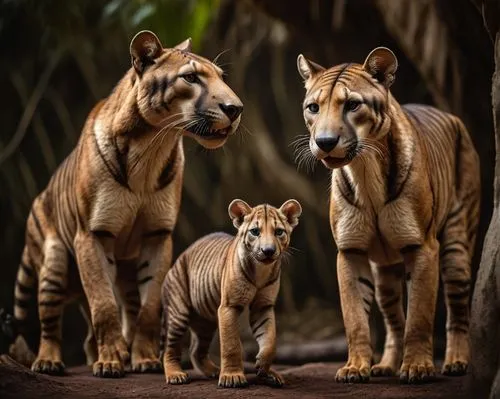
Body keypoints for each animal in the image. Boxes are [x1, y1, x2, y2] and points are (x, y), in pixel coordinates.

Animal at [12, 30, 243, 378]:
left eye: (221, 77)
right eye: (190, 78)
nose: (236, 108)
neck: (151, 146)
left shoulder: (157, 235)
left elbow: (148, 307)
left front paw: (143, 358)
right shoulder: (93, 234)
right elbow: (103, 304)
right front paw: (110, 362)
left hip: (125, 269)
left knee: (114, 318)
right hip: (53, 261)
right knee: (50, 321)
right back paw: (50, 361)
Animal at [296, 47, 480, 384]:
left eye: (352, 105)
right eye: (313, 107)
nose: (325, 142)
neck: (365, 171)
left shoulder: (422, 247)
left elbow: (419, 316)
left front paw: (418, 367)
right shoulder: (350, 252)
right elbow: (355, 318)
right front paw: (355, 367)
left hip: (456, 247)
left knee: (458, 309)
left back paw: (456, 362)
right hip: (385, 273)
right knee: (394, 319)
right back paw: (385, 365)